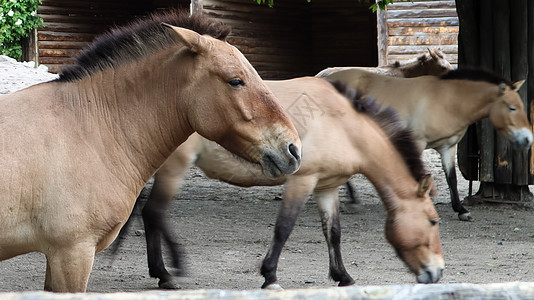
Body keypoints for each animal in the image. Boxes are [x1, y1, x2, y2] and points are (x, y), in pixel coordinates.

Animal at [118, 77, 448, 288]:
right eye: (433, 221)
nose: (437, 273)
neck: (342, 124)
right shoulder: (302, 181)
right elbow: (284, 228)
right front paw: (270, 276)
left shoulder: (327, 187)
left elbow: (333, 233)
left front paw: (342, 276)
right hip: (173, 170)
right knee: (154, 213)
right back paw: (168, 273)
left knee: (147, 214)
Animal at [320, 68, 532, 223]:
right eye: (512, 108)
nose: (528, 140)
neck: (448, 100)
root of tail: (326, 79)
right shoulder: (417, 142)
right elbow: (419, 174)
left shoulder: (447, 148)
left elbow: (451, 179)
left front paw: (461, 210)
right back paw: (352, 200)